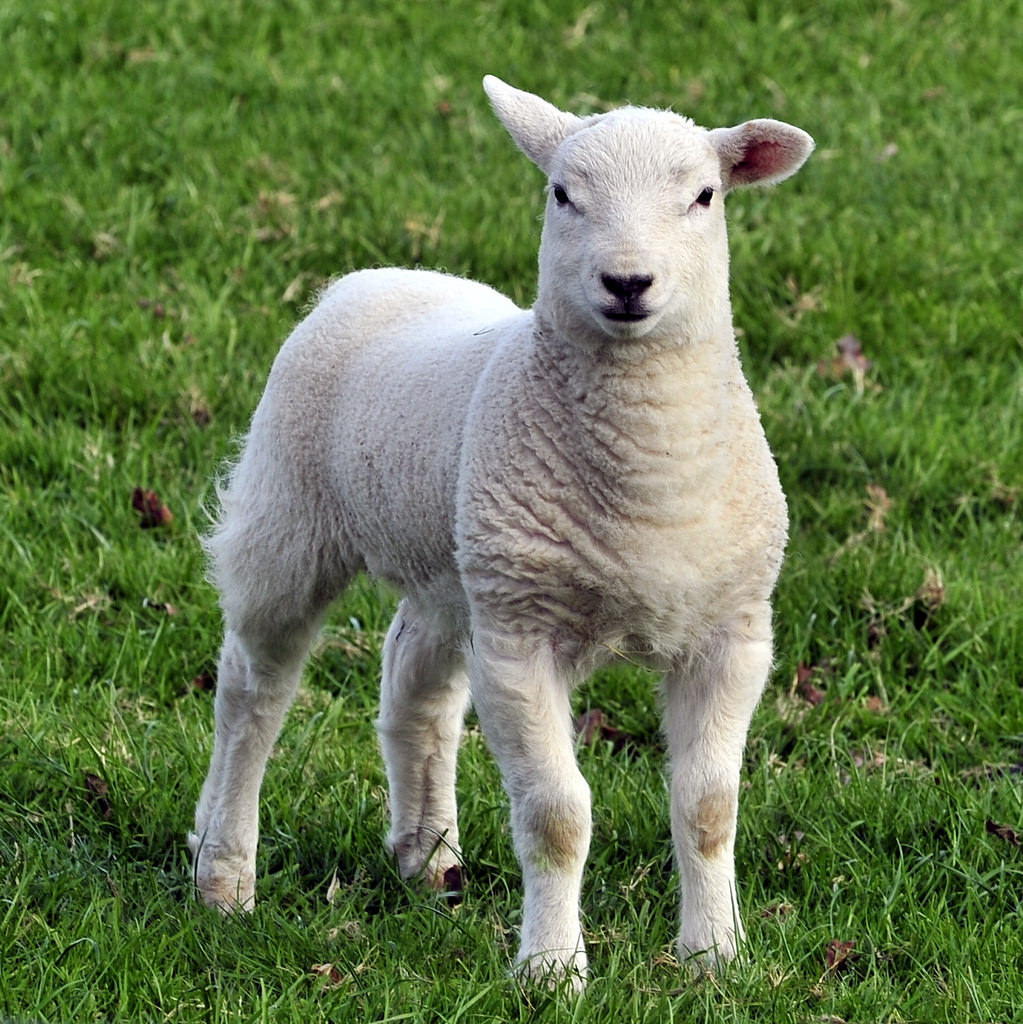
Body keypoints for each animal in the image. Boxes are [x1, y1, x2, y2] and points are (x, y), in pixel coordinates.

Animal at [190, 75, 815, 987]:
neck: (645, 477)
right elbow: (557, 814)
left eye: (703, 196)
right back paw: (223, 871)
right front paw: (552, 970)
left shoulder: (731, 635)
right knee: (251, 694)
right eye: (562, 194)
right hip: (289, 518)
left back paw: (427, 857)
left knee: (415, 687)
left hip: (457, 568)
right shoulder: (521, 640)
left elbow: (707, 807)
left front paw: (713, 957)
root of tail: (376, 277)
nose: (627, 282)